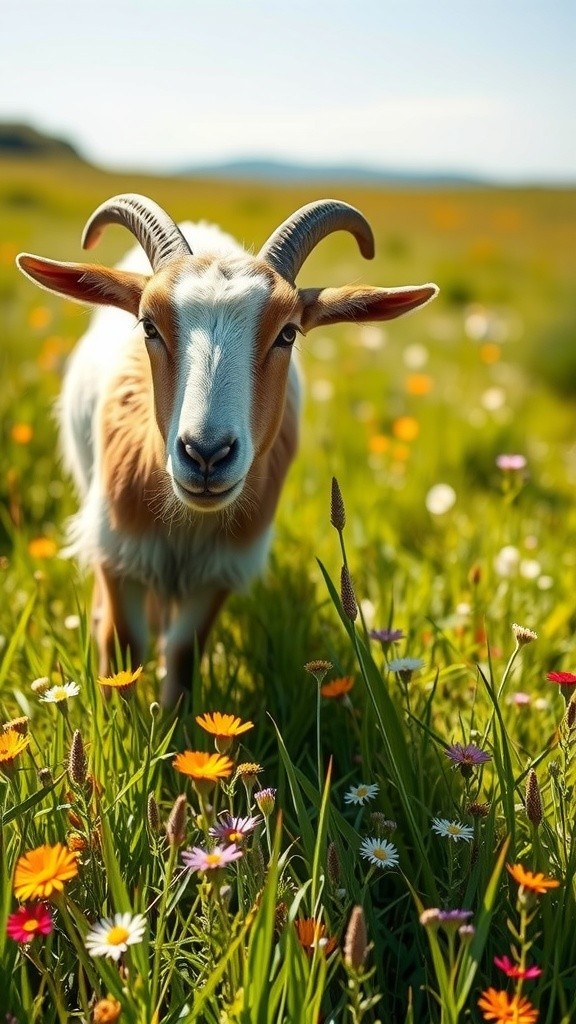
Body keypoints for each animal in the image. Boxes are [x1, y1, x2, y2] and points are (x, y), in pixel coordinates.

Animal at [17, 194, 438, 706]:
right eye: (148, 325)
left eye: (288, 333)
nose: (206, 454)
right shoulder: (119, 549)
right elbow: (122, 647)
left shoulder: (222, 568)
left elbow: (184, 653)